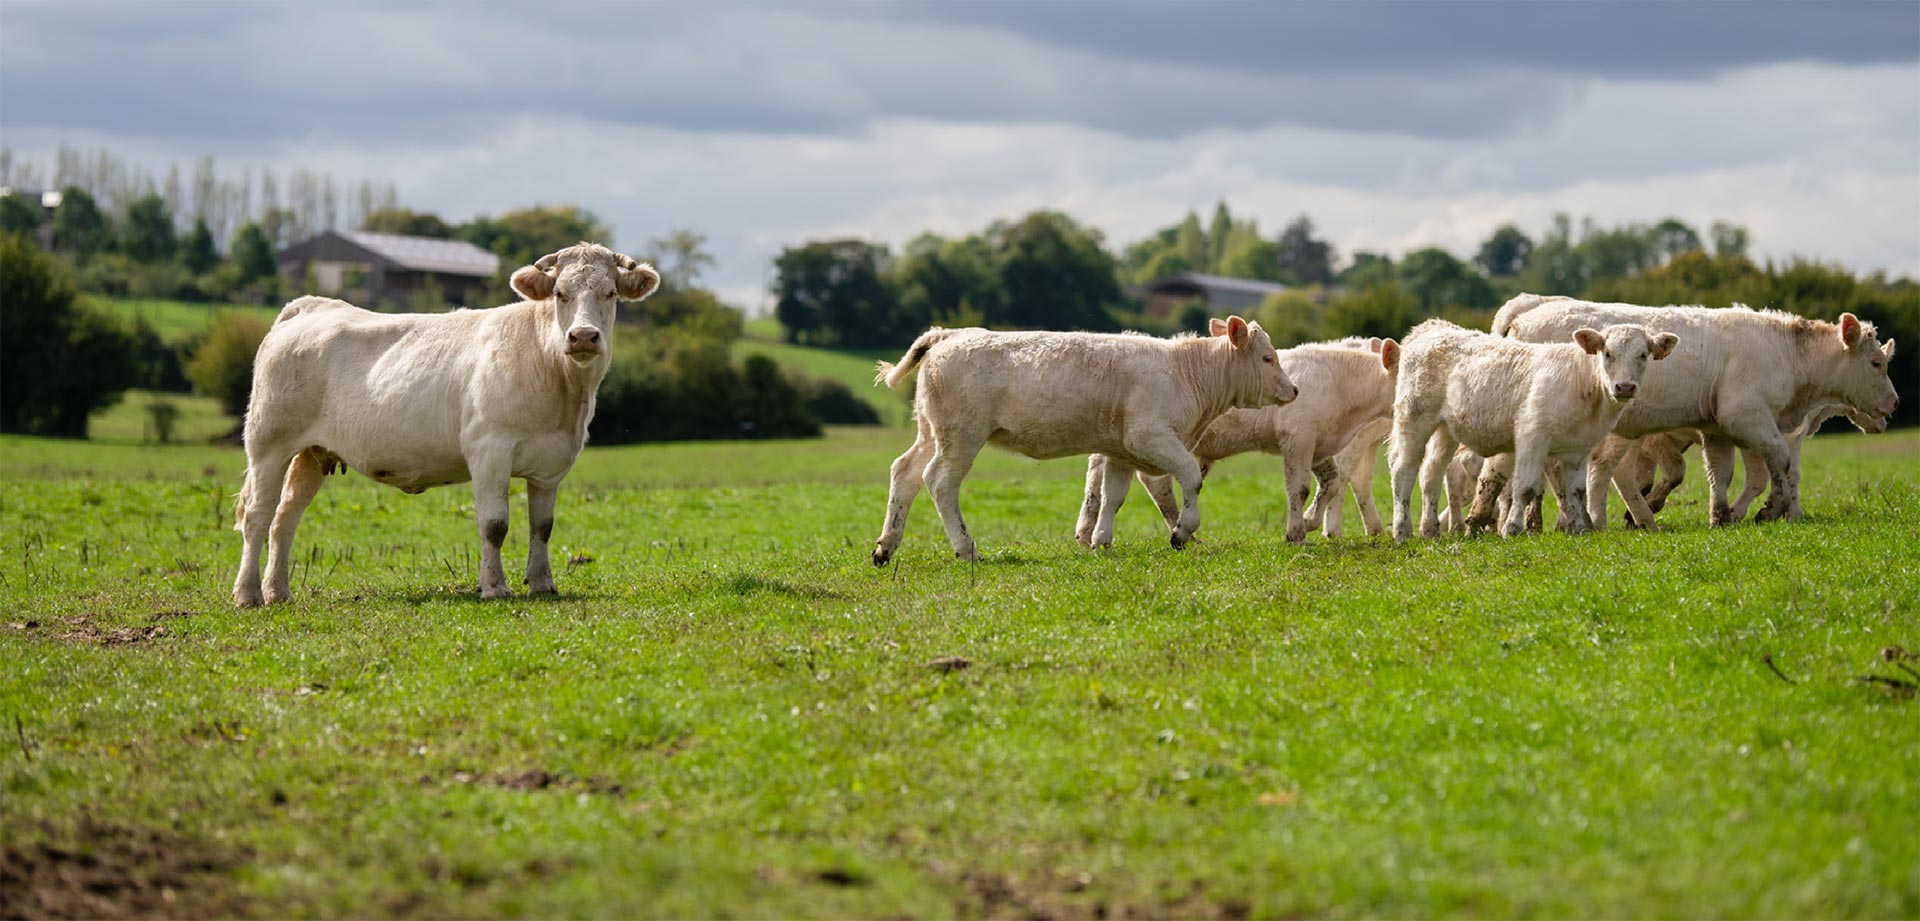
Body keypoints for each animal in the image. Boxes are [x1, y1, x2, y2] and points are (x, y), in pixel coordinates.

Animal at [232, 240, 660, 606]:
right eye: (560, 294)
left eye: (610, 293)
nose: (583, 336)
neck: (561, 388)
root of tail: (311, 305)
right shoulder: (489, 449)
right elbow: (494, 525)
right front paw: (494, 587)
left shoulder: (551, 464)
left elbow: (543, 526)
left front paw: (542, 584)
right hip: (268, 444)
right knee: (257, 516)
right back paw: (248, 595)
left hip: (311, 453)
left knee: (284, 519)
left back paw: (278, 592)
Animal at [1075, 333, 1405, 544]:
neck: (1339, 382)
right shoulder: (1298, 438)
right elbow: (1299, 487)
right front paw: (1296, 533)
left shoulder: (1320, 446)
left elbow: (1332, 482)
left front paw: (1310, 522)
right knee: (1154, 482)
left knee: (1102, 477)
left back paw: (1087, 532)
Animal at [1382, 320, 1681, 544]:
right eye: (1607, 354)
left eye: (1643, 355)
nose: (1625, 387)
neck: (1584, 386)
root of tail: (1428, 333)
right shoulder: (1531, 436)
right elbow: (1524, 487)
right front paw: (1511, 529)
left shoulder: (1579, 450)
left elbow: (1576, 491)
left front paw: (1578, 529)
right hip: (1414, 419)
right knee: (1403, 470)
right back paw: (1402, 532)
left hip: (1445, 430)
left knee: (1431, 473)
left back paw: (1429, 531)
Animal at [1489, 295, 1896, 525]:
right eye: (1877, 363)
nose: (1895, 402)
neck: (1787, 353)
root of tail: (1523, 314)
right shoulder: (1748, 416)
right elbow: (1780, 464)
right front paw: (1773, 510)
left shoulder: (1718, 428)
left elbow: (1723, 474)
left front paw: (1722, 516)